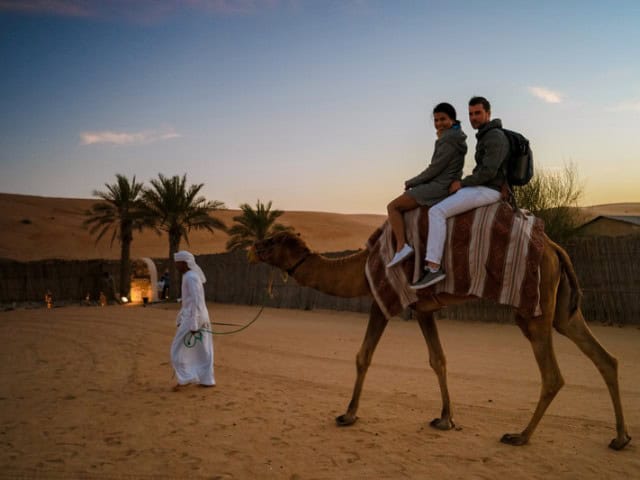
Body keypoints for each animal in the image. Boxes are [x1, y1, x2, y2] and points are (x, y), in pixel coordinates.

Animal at [249, 230, 632, 450]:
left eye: (272, 242)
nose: (252, 248)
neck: (360, 268)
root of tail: (555, 248)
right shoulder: (423, 309)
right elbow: (439, 359)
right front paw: (446, 419)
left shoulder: (382, 301)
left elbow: (363, 356)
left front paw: (348, 414)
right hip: (563, 307)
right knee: (605, 358)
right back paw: (620, 438)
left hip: (534, 308)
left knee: (553, 375)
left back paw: (520, 436)